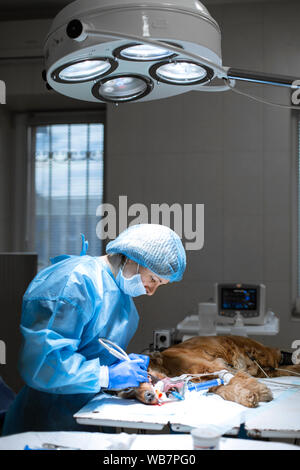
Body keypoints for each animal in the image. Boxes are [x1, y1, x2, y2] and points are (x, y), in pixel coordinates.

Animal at [118, 334, 300, 408]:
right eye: (129, 393)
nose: (148, 397)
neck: (168, 366)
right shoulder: (209, 380)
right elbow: (226, 390)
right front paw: (247, 396)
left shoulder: (215, 366)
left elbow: (236, 379)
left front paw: (260, 391)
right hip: (267, 370)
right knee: (284, 369)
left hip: (264, 356)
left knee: (279, 356)